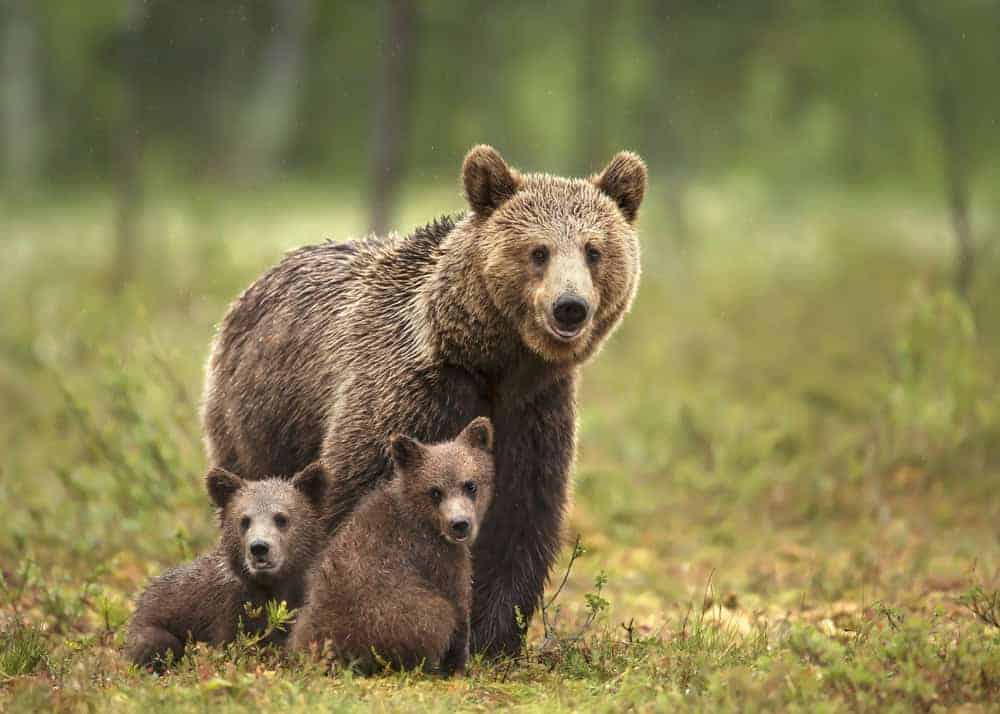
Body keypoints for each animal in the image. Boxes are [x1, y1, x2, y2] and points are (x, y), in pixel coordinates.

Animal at [291, 416, 495, 675]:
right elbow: (459, 609)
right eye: (435, 491)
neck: (425, 520)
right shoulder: (438, 559)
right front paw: (460, 666)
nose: (459, 524)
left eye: (470, 485)